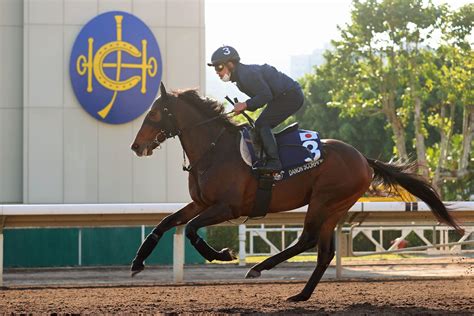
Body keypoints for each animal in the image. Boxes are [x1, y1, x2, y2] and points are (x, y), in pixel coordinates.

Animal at [130, 82, 462, 302]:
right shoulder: (201, 202)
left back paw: (260, 269)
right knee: (324, 252)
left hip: (324, 201)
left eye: (155, 113)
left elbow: (191, 230)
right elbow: (165, 223)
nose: (136, 146)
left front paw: (222, 255)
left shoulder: (228, 207)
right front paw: (137, 263)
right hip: (335, 207)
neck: (215, 151)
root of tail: (363, 158)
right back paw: (301, 294)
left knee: (308, 240)